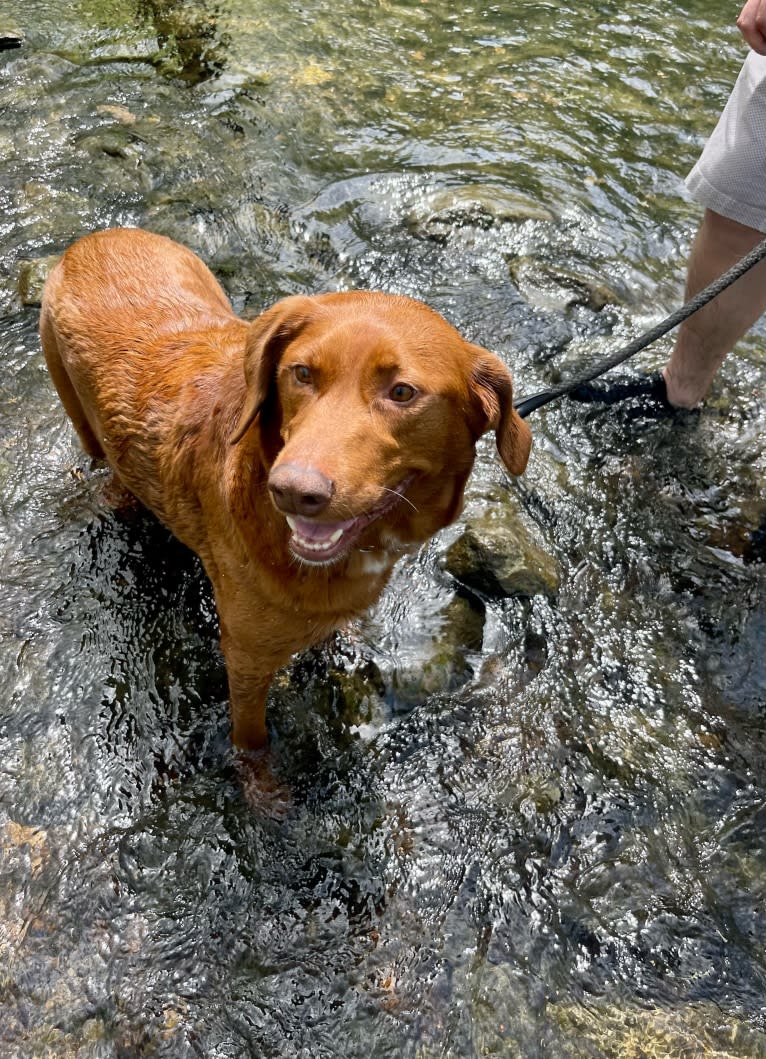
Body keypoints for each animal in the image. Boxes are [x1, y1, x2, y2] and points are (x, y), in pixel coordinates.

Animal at [40, 227, 533, 749]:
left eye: (402, 392)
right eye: (302, 373)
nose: (294, 491)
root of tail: (102, 236)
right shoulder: (245, 660)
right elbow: (253, 743)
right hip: (76, 406)